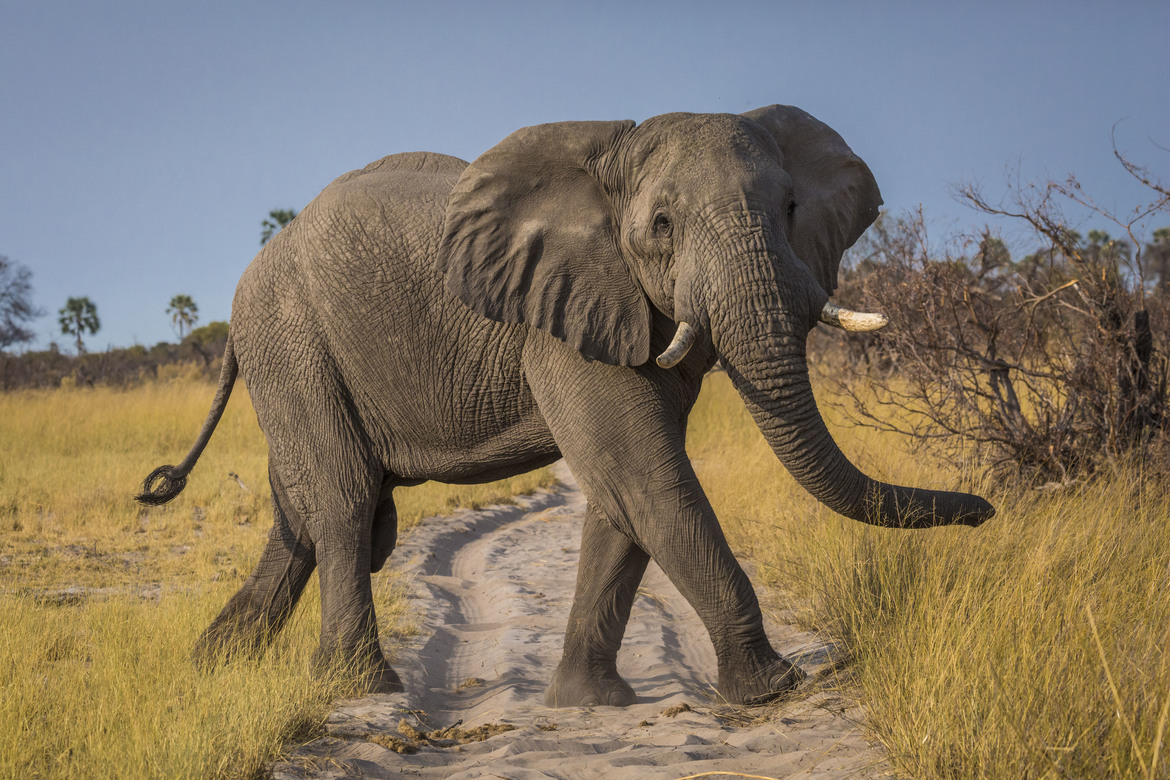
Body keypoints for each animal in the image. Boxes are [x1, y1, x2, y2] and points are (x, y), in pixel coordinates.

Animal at [137, 105, 994, 707]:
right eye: (661, 225)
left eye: (790, 211)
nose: (987, 512)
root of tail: (252, 273)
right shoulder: (563, 314)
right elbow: (646, 474)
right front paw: (772, 689)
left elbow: (622, 495)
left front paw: (591, 703)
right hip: (291, 336)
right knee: (344, 501)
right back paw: (359, 688)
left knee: (304, 511)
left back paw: (213, 667)